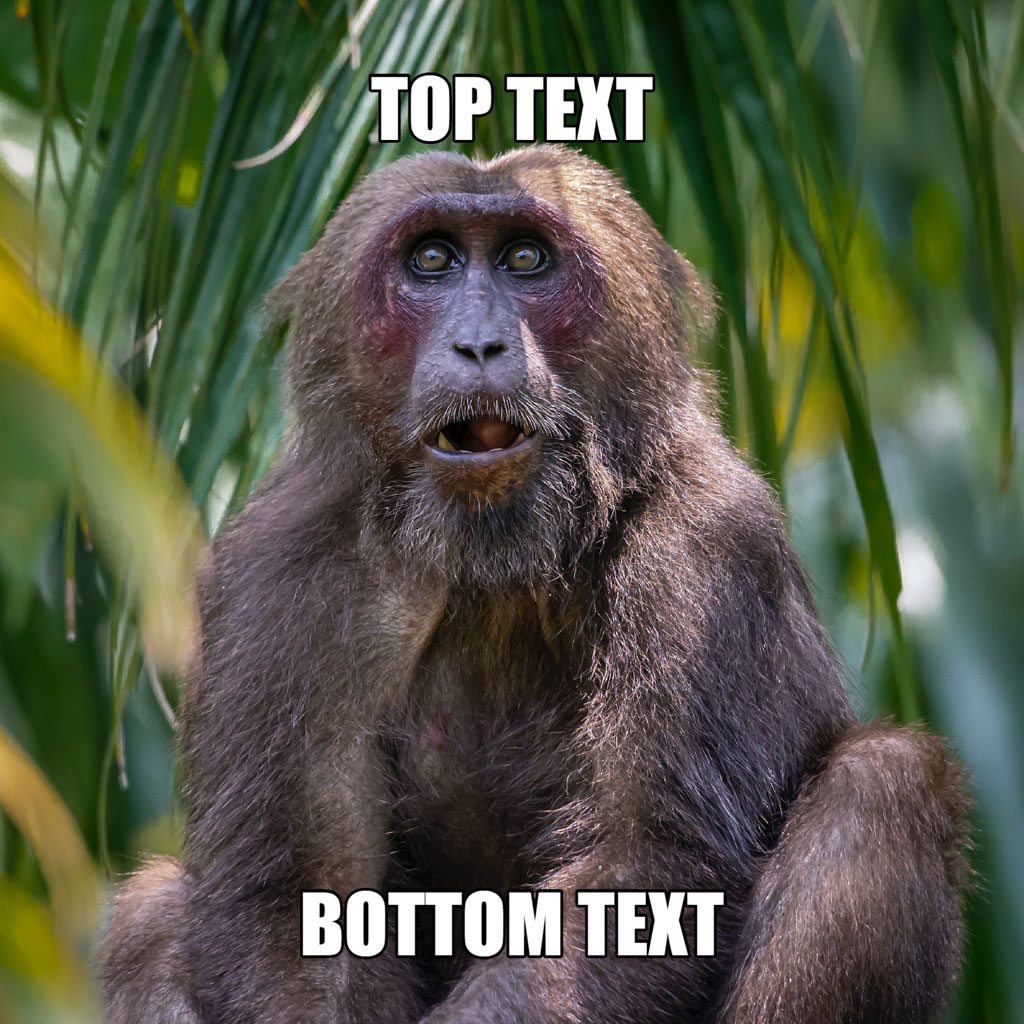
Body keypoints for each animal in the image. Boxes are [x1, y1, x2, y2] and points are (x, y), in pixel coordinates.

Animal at [100, 145, 969, 1024]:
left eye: (525, 260)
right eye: (433, 261)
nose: (480, 343)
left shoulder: (708, 545)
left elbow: (642, 869)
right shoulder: (279, 572)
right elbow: (301, 903)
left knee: (881, 784)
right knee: (152, 914)